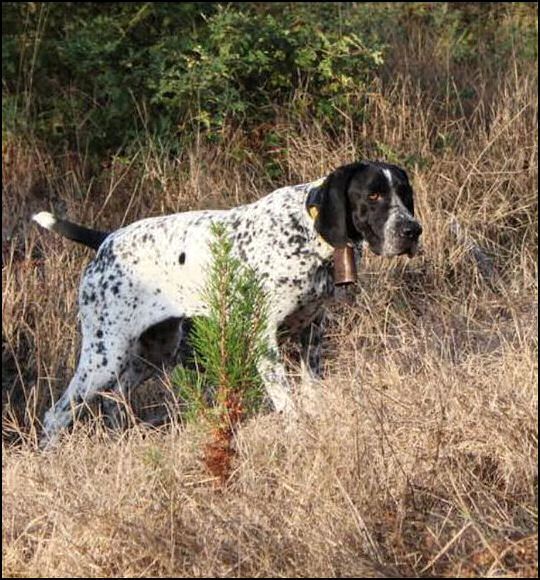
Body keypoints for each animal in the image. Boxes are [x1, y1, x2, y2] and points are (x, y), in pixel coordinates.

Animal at [32, 161, 422, 446]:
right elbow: (288, 405)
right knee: (56, 415)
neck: (306, 234)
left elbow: (312, 396)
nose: (412, 231)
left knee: (115, 402)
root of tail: (105, 240)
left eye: (405, 195)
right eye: (373, 195)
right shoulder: (265, 341)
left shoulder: (311, 335)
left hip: (151, 352)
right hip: (104, 356)